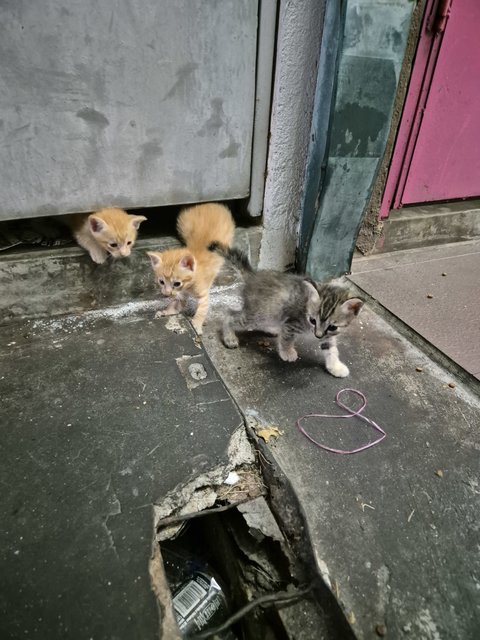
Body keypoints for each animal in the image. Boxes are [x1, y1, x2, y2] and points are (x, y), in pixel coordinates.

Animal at [147, 204, 235, 336]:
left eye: (177, 283)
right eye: (161, 282)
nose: (167, 294)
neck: (188, 286)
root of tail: (210, 204)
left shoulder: (204, 295)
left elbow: (201, 310)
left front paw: (197, 324)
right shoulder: (181, 295)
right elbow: (176, 305)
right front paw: (166, 311)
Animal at [208, 244, 362, 376]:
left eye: (332, 327)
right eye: (313, 320)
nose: (317, 335)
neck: (306, 306)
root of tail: (253, 275)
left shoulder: (328, 335)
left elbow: (331, 349)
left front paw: (335, 367)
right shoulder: (291, 323)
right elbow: (287, 338)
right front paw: (287, 353)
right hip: (259, 314)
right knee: (230, 315)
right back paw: (229, 337)